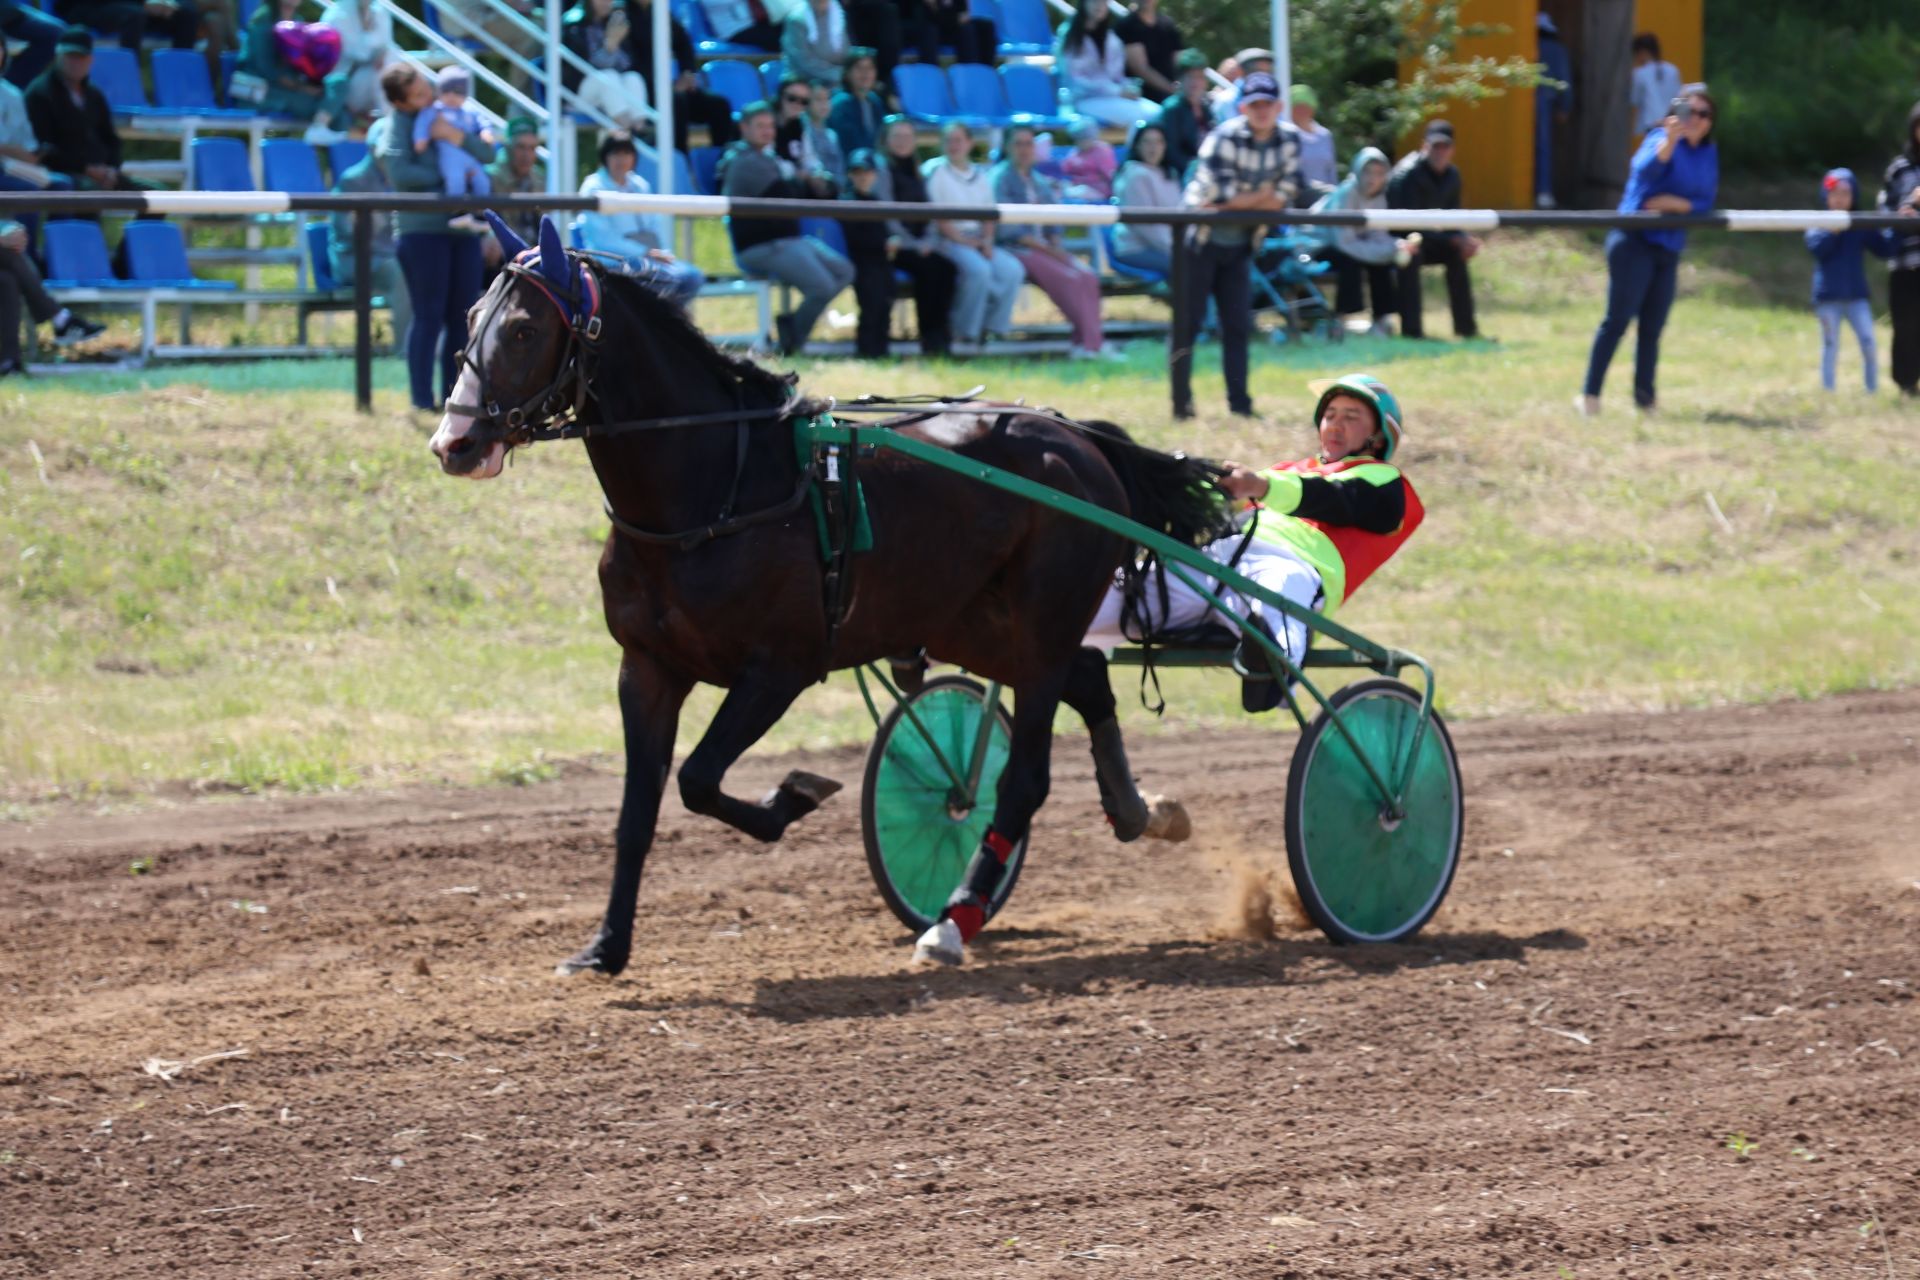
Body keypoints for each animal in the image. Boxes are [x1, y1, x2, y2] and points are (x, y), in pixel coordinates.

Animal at [430, 214, 1221, 974]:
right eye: (469, 317)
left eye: (524, 328)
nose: (454, 443)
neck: (713, 494)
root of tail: (1077, 437)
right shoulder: (647, 669)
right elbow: (637, 814)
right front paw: (604, 947)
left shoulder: (781, 667)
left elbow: (698, 778)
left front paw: (795, 794)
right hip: (975, 623)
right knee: (1088, 681)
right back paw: (1138, 810)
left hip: (1040, 624)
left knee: (1024, 777)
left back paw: (954, 918)